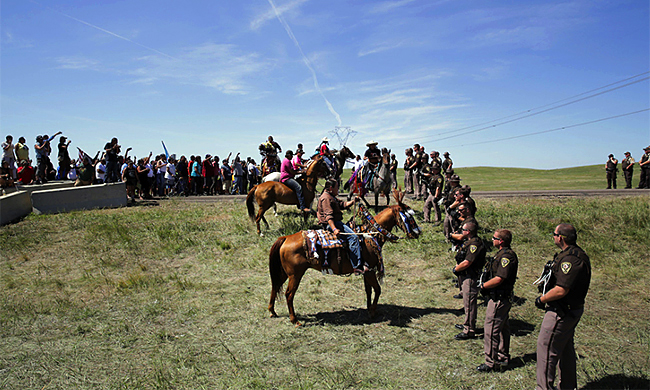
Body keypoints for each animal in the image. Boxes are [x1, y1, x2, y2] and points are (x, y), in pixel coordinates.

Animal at [264, 190, 420, 324]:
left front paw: (369, 309)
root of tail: (285, 238)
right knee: (289, 294)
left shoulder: (366, 272)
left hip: (285, 273)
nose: (418, 232)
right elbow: (377, 290)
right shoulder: (369, 271)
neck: (369, 236)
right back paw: (294, 320)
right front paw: (372, 312)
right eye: (409, 216)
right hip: (295, 275)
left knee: (275, 286)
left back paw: (272, 311)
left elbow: (368, 290)